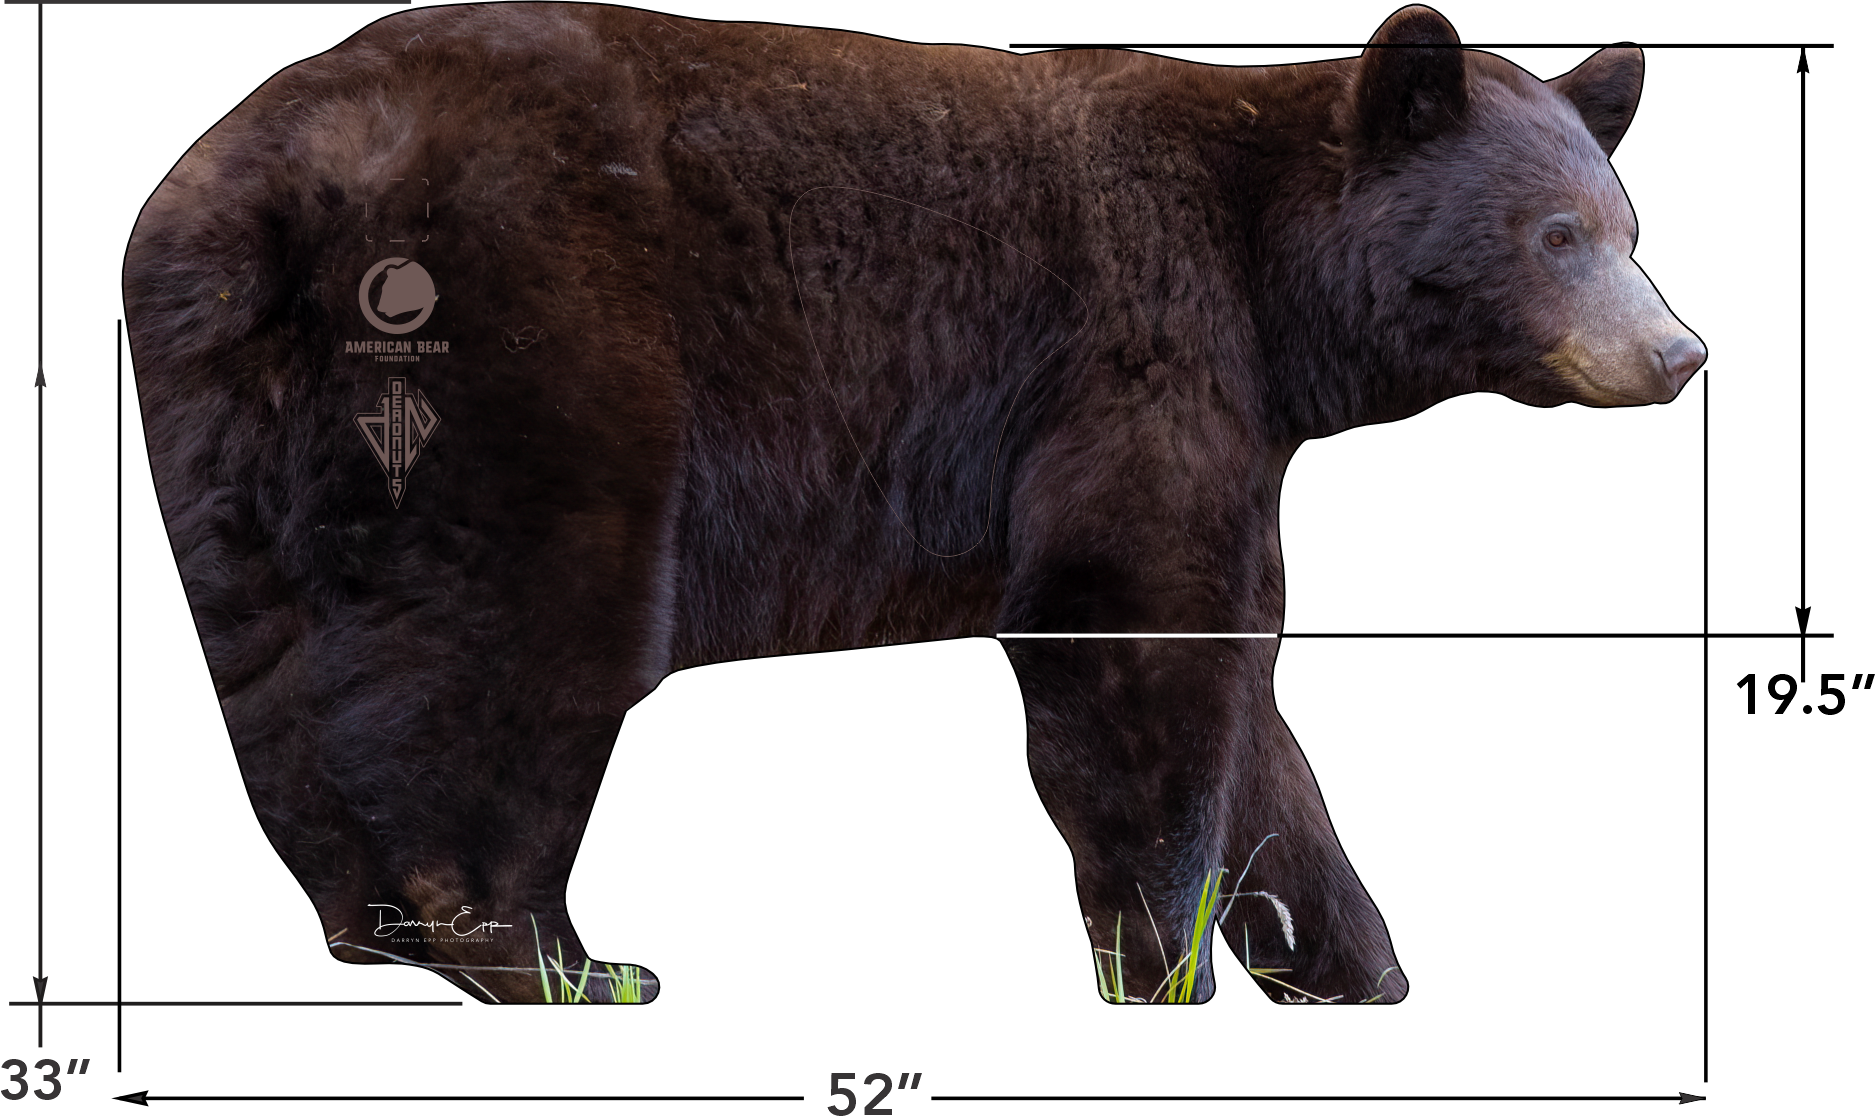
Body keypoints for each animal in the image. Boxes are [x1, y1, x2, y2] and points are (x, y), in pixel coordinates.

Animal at [120, 2, 1704, 1005]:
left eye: (1629, 228)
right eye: (1555, 236)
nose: (1678, 352)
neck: (1269, 274)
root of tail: (252, 189)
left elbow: (1242, 678)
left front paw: (1349, 964)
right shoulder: (1137, 350)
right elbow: (1130, 633)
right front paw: (1165, 965)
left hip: (230, 406)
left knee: (280, 659)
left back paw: (377, 932)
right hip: (540, 329)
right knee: (528, 635)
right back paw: (557, 958)